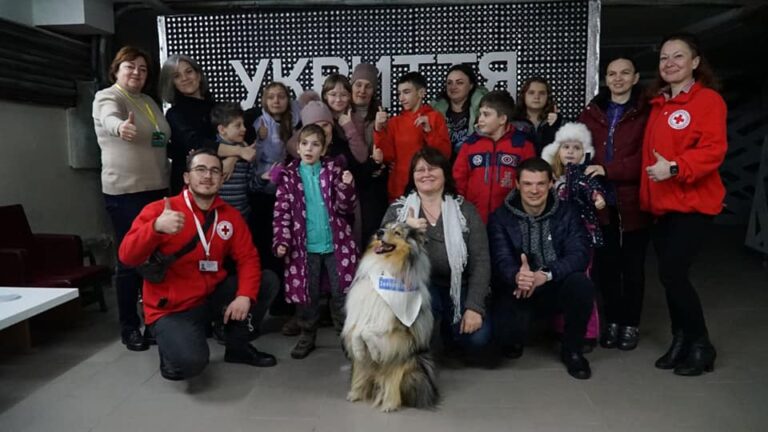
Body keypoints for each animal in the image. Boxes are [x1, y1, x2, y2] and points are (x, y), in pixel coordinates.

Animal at [342, 223, 438, 412]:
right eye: (385, 227)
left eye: (398, 232)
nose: (379, 232)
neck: (383, 269)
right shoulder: (360, 317)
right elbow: (357, 332)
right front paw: (359, 350)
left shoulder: (397, 327)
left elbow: (367, 332)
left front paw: (375, 352)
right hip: (362, 367)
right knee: (362, 376)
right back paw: (355, 393)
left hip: (407, 369)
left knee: (391, 384)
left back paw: (389, 404)